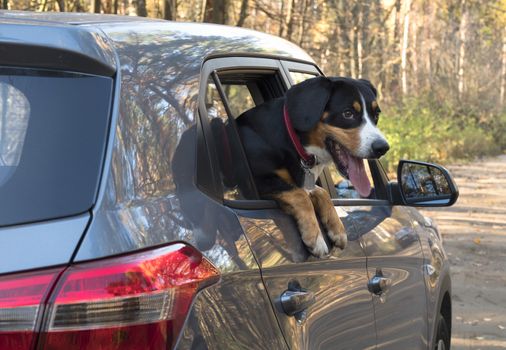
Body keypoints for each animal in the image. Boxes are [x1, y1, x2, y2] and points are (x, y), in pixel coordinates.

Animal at [238, 76, 392, 258]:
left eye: (376, 115)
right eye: (348, 113)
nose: (382, 148)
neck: (294, 141)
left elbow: (321, 192)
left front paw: (338, 229)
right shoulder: (254, 180)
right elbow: (299, 195)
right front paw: (315, 238)